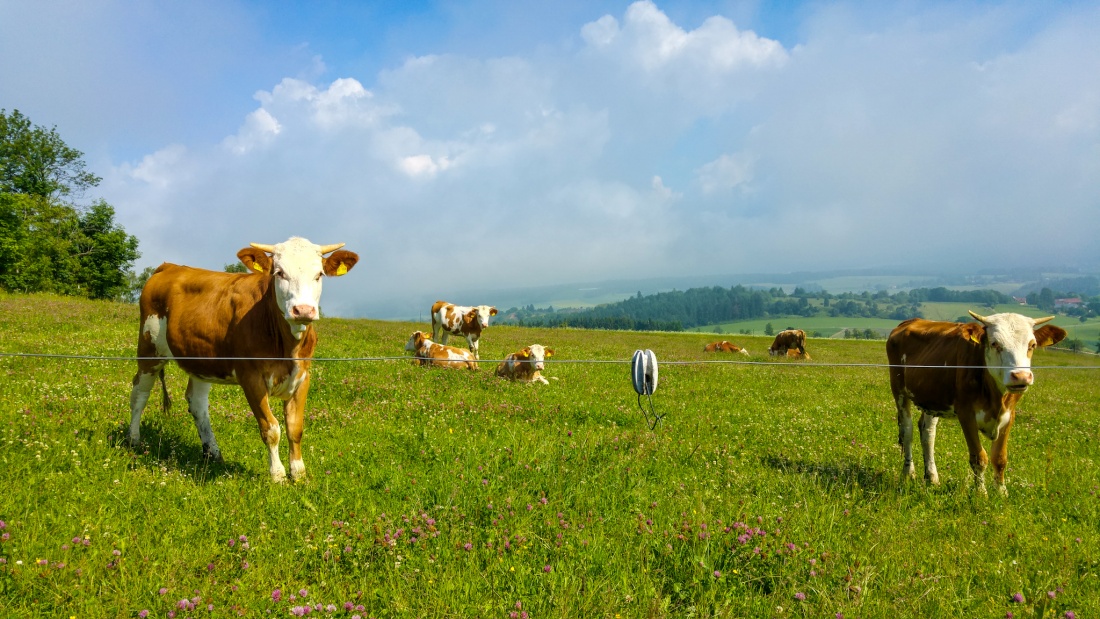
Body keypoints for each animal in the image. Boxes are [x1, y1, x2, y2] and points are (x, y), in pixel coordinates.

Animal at [129, 237, 356, 483]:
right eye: (279, 273)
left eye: (319, 274)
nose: (303, 310)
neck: (287, 347)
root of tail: (170, 266)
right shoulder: (251, 378)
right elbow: (271, 428)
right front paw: (277, 475)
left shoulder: (303, 376)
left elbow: (295, 428)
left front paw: (299, 474)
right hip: (149, 348)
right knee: (139, 392)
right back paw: (133, 440)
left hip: (201, 359)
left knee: (197, 403)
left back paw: (213, 453)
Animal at [884, 312, 1064, 496]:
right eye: (995, 343)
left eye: (1032, 345)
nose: (1021, 376)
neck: (995, 398)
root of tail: (910, 322)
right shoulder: (966, 415)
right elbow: (979, 457)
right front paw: (981, 494)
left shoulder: (1009, 415)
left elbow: (1000, 458)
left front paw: (1001, 493)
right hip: (899, 390)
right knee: (907, 430)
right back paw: (908, 473)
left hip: (932, 399)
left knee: (928, 433)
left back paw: (932, 478)